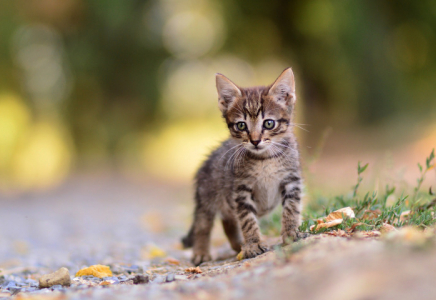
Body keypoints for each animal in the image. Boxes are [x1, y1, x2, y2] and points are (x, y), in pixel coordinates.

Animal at [182, 67, 302, 264]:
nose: (255, 140)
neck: (265, 159)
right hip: (206, 198)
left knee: (227, 221)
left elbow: (292, 208)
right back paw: (201, 252)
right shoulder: (241, 189)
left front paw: (291, 233)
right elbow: (247, 220)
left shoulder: (291, 179)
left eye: (269, 123)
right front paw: (253, 244)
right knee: (203, 224)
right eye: (241, 126)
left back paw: (239, 245)